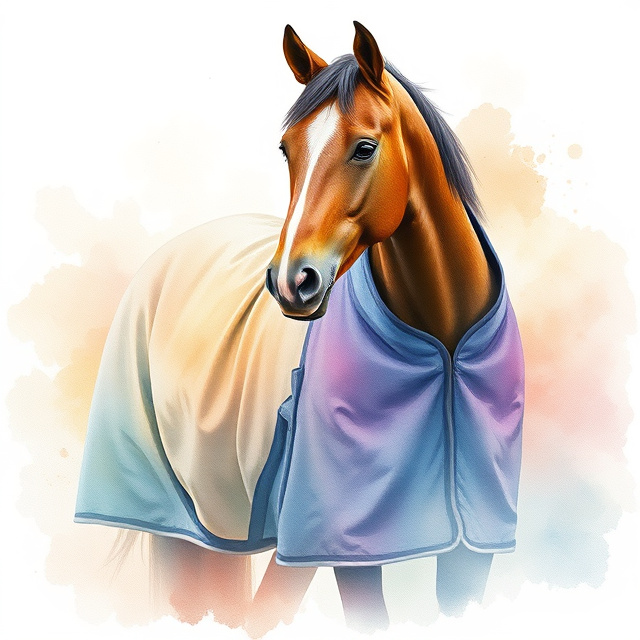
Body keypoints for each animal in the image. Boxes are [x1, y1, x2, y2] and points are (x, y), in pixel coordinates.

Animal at [75, 22, 524, 636]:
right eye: (287, 148)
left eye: (365, 147)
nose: (292, 281)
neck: (445, 343)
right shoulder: (342, 549)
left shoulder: (474, 547)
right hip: (177, 531)